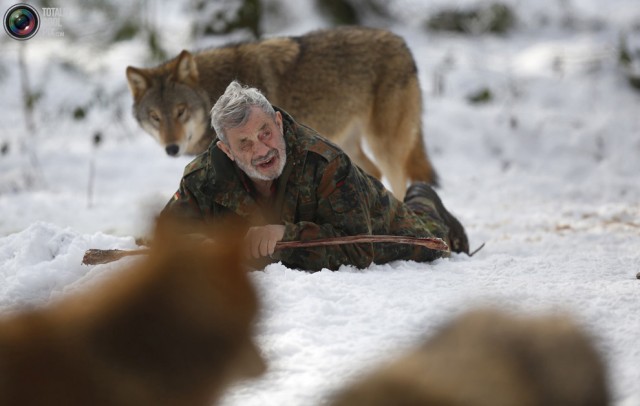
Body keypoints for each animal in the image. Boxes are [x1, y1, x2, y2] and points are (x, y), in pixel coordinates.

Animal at [126, 26, 436, 199]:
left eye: (181, 112)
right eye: (155, 117)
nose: (172, 148)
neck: (214, 87)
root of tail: (402, 44)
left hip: (385, 146)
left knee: (398, 179)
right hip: (347, 144)